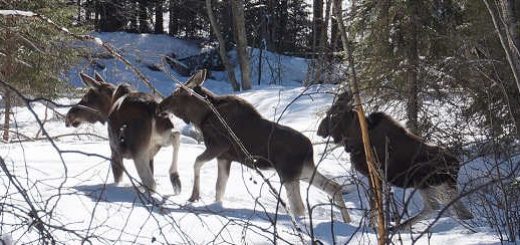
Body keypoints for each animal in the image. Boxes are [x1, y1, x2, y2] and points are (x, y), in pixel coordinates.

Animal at [156, 70, 352, 223]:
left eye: (177, 92)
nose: (161, 104)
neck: (202, 117)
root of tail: (309, 150)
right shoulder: (224, 157)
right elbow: (220, 188)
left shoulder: (219, 146)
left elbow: (197, 162)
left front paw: (194, 195)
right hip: (304, 170)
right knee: (333, 186)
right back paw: (347, 220)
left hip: (288, 173)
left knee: (299, 207)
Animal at [314, 90, 474, 230]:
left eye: (332, 114)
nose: (319, 130)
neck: (356, 138)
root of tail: (456, 165)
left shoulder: (375, 174)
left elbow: (375, 205)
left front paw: (372, 226)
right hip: (439, 186)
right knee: (459, 211)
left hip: (425, 183)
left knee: (435, 207)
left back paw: (400, 227)